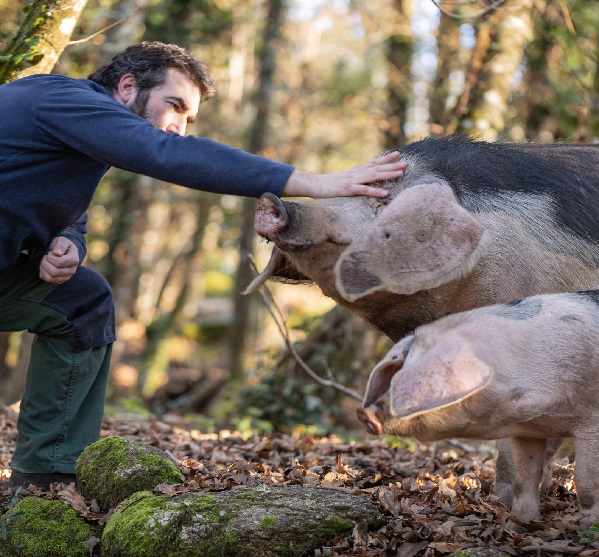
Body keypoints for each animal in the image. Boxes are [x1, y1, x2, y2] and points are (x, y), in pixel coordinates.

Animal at [358, 288, 599, 528]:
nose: (364, 413)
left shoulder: (591, 420)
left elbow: (586, 483)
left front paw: (588, 528)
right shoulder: (529, 430)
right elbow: (524, 480)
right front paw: (518, 526)